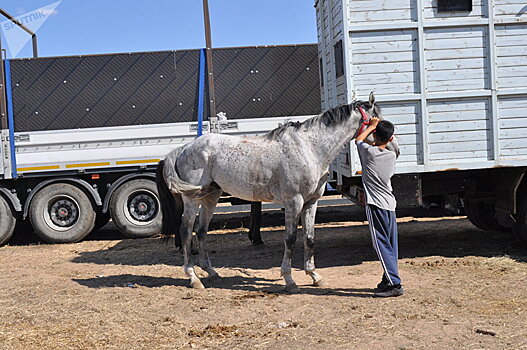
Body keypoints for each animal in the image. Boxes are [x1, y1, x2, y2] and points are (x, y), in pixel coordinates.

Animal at [157, 91, 400, 292]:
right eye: (379, 123)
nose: (395, 149)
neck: (310, 148)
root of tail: (184, 148)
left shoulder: (311, 202)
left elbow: (310, 238)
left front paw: (315, 276)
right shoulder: (294, 202)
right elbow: (290, 239)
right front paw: (290, 280)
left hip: (211, 197)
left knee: (201, 231)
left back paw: (212, 273)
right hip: (192, 200)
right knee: (186, 231)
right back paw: (193, 278)